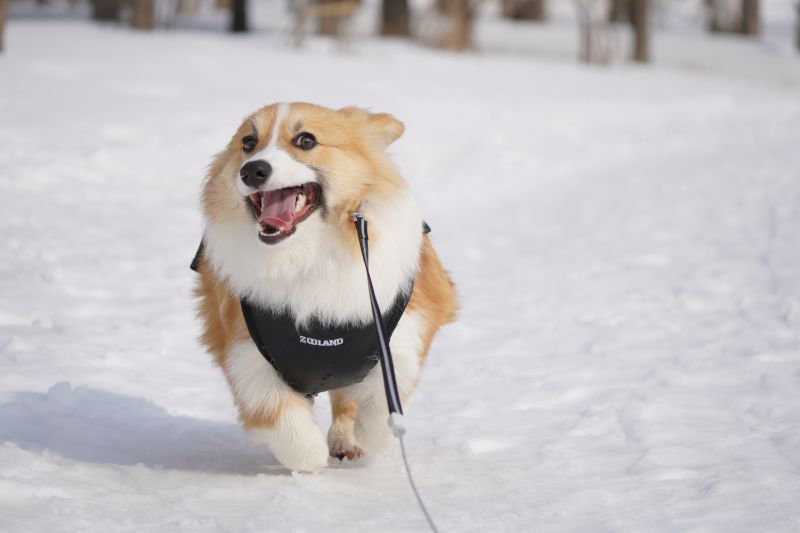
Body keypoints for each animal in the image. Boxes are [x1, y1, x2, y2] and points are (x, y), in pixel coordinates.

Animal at [193, 102, 456, 472]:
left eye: (306, 140)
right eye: (248, 143)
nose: (252, 170)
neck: (307, 253)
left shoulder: (399, 334)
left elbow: (383, 409)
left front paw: (364, 437)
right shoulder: (245, 352)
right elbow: (282, 420)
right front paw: (311, 456)